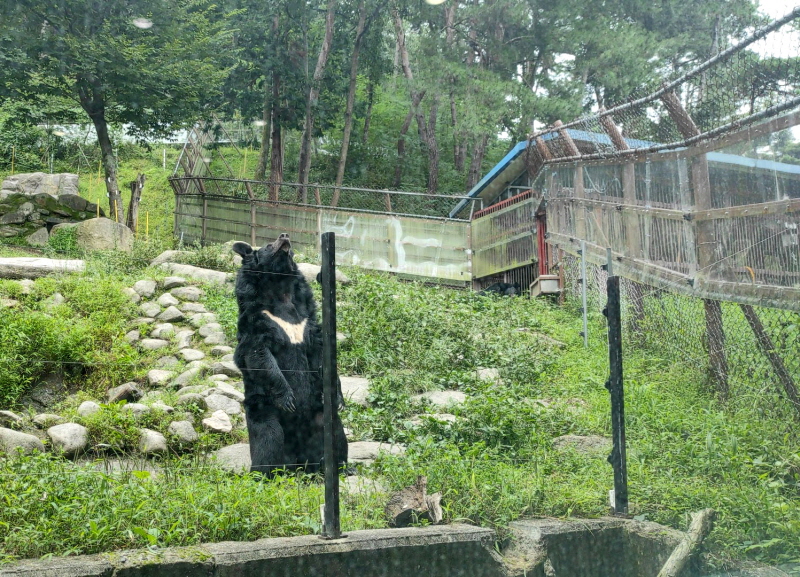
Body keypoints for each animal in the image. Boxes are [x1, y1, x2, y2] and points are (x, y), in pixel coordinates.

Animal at [230, 232, 346, 474]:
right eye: (268, 245)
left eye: (289, 249)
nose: (284, 237)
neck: (279, 290)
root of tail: (297, 461)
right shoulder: (256, 319)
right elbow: (259, 355)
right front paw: (289, 399)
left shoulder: (307, 319)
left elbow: (321, 353)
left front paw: (339, 398)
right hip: (263, 407)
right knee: (269, 439)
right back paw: (265, 474)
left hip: (318, 411)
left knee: (336, 431)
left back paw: (338, 466)